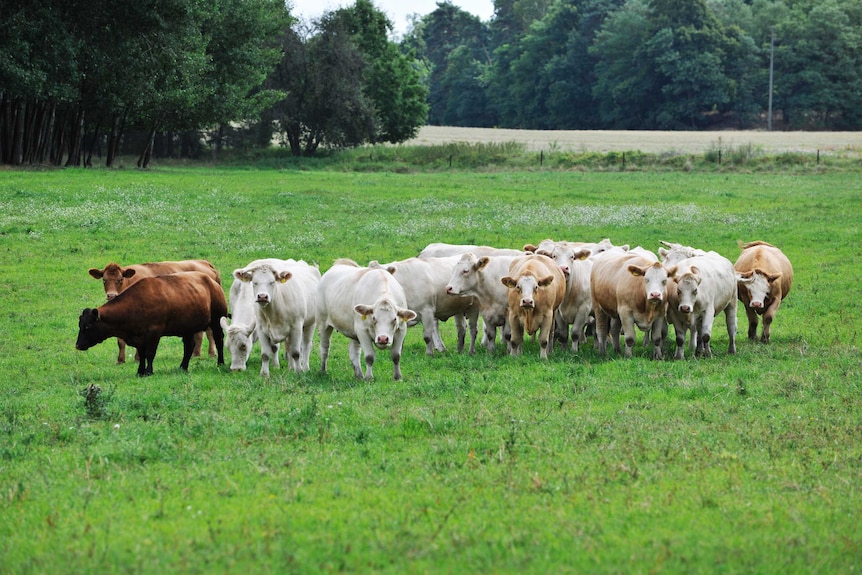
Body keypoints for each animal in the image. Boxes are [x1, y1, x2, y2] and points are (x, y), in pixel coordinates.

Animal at [75, 274, 226, 378]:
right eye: (80, 325)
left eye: (87, 326)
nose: (77, 345)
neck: (135, 305)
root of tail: (211, 281)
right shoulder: (139, 337)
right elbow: (141, 354)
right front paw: (140, 372)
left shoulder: (154, 332)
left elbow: (149, 353)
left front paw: (148, 371)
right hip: (187, 328)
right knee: (189, 346)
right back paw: (183, 367)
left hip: (217, 321)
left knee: (219, 341)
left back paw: (220, 363)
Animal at [88, 260, 221, 364]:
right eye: (104, 280)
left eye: (120, 279)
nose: (111, 295)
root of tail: (205, 262)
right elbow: (120, 341)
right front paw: (120, 360)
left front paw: (137, 358)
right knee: (199, 333)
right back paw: (196, 354)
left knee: (210, 332)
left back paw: (211, 353)